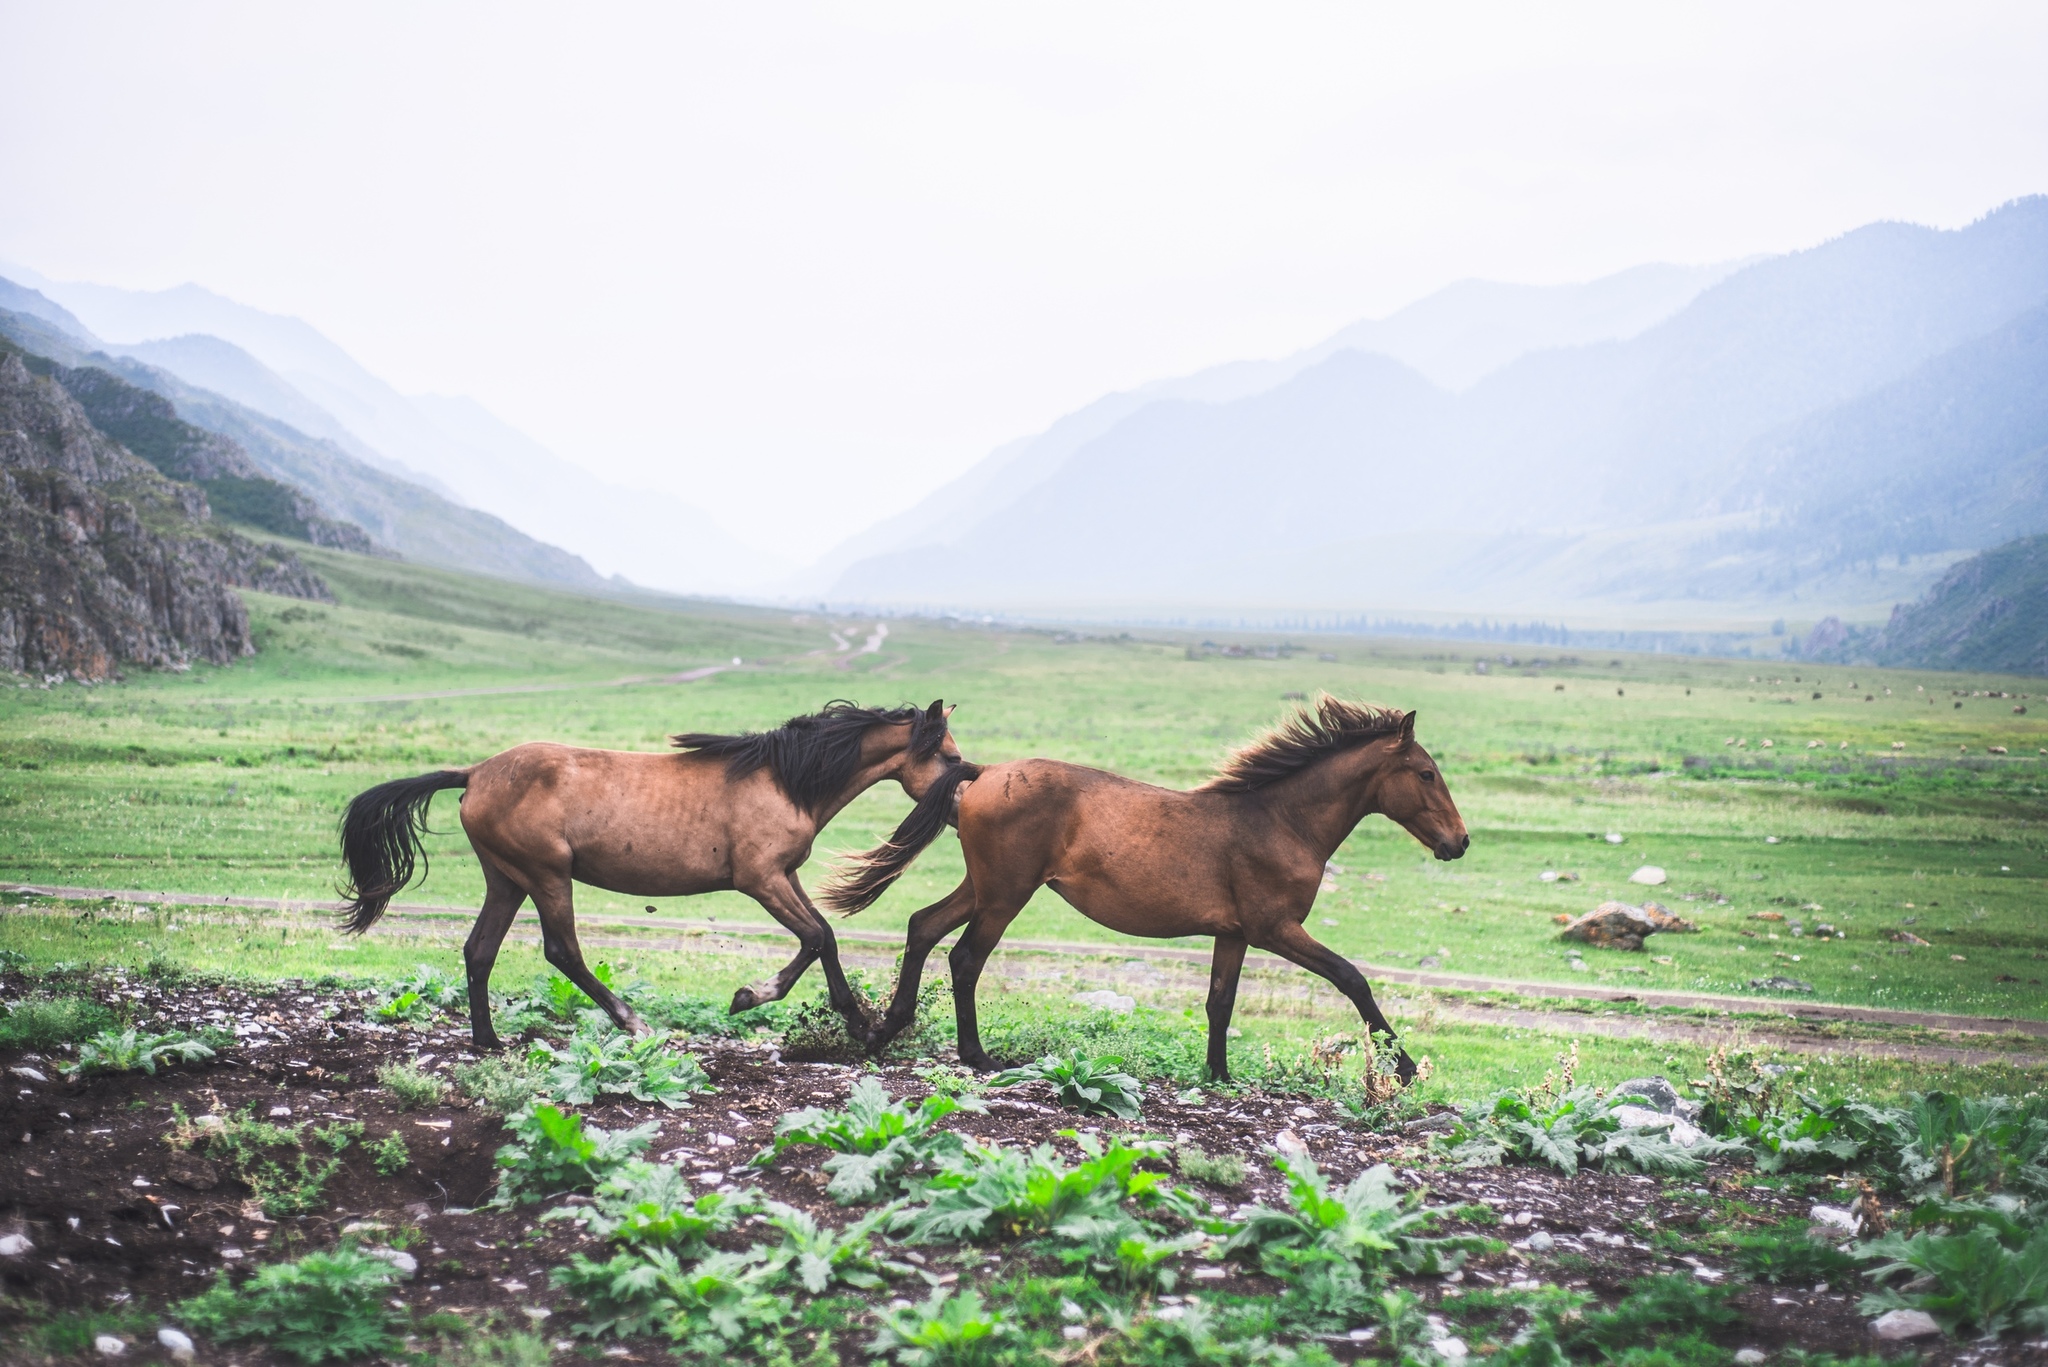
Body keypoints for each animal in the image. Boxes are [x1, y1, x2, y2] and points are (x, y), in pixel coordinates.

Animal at [335, 700, 974, 1057]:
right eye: (947, 756)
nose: (966, 801)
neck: (786, 780)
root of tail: (474, 774)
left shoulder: (784, 875)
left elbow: (826, 938)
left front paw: (861, 1026)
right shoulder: (760, 879)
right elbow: (816, 937)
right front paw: (753, 998)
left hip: (506, 878)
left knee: (479, 951)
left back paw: (488, 1041)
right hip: (546, 875)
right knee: (562, 951)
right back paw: (634, 1023)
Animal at [831, 700, 1474, 1082]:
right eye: (1425, 773)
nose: (1460, 842)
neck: (1280, 820)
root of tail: (984, 773)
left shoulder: (1235, 934)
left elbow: (1220, 1003)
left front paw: (1219, 1076)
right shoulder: (1276, 929)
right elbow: (1352, 978)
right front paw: (1405, 1068)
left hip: (985, 887)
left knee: (922, 926)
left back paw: (882, 1031)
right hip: (1006, 895)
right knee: (965, 958)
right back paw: (976, 1056)